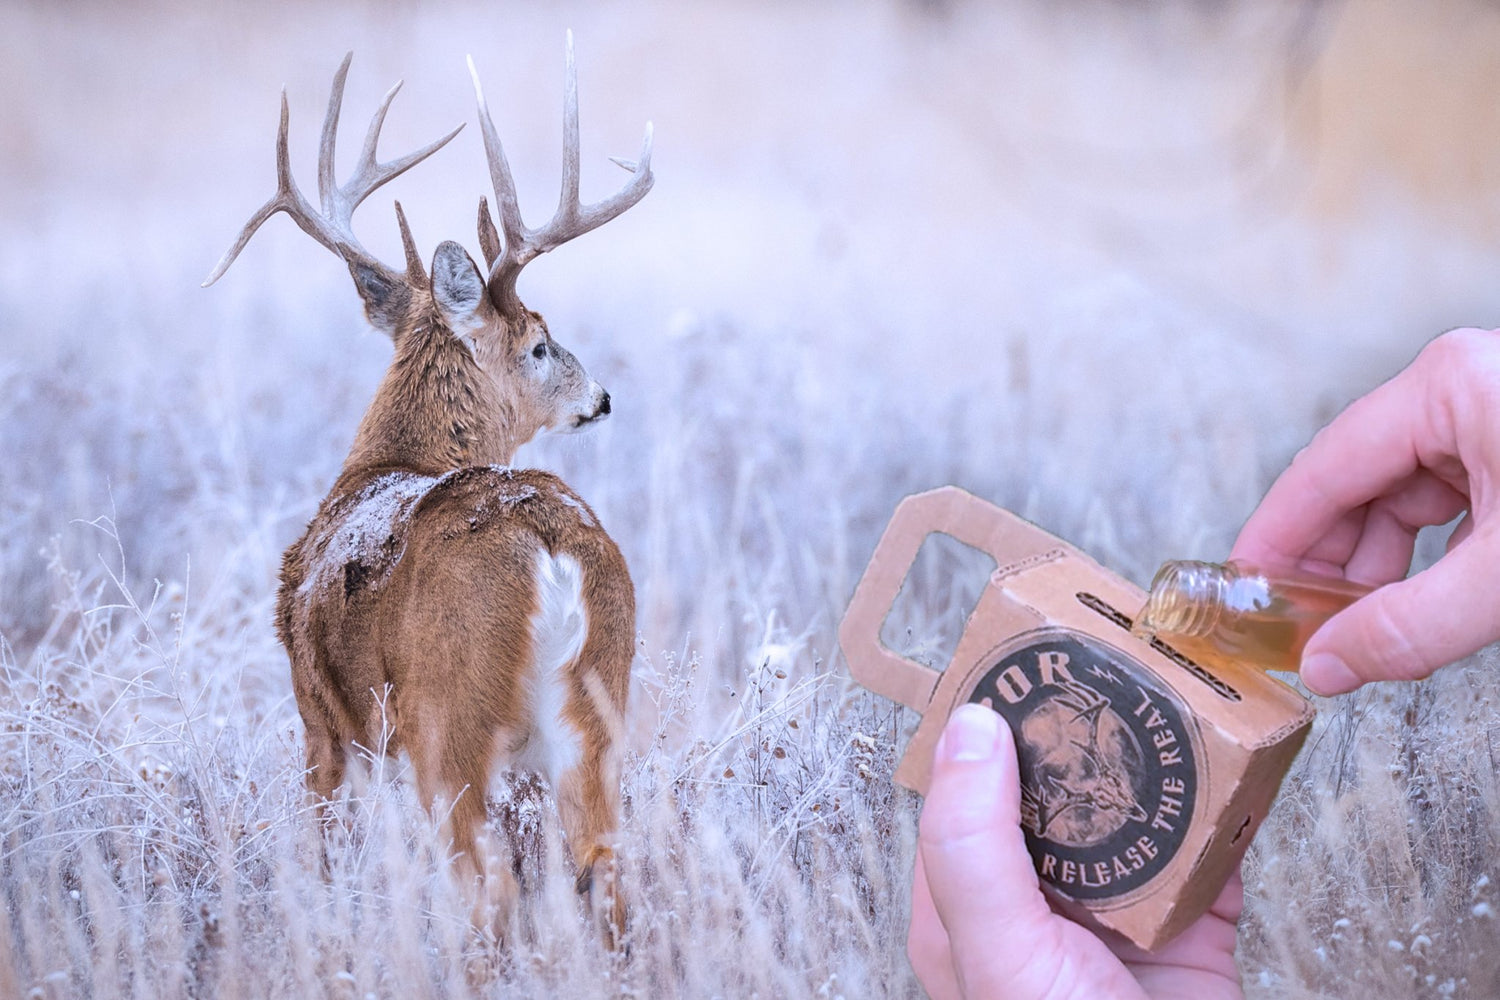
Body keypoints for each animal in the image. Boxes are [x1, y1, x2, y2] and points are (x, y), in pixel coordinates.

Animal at [202, 38, 650, 943]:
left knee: (490, 886)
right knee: (607, 877)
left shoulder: (321, 717)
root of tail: (549, 545)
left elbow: (327, 849)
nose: (602, 396)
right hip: (599, 710)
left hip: (449, 719)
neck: (379, 465)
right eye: (543, 344)